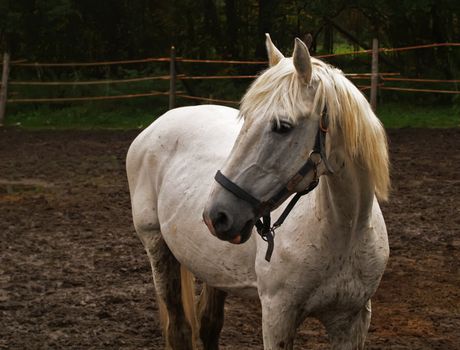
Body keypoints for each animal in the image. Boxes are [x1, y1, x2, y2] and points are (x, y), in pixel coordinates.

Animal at [126, 33, 388, 350]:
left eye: (282, 126)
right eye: (245, 120)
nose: (217, 214)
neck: (343, 231)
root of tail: (156, 125)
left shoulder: (352, 320)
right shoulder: (278, 315)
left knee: (208, 325)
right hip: (156, 245)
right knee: (179, 329)